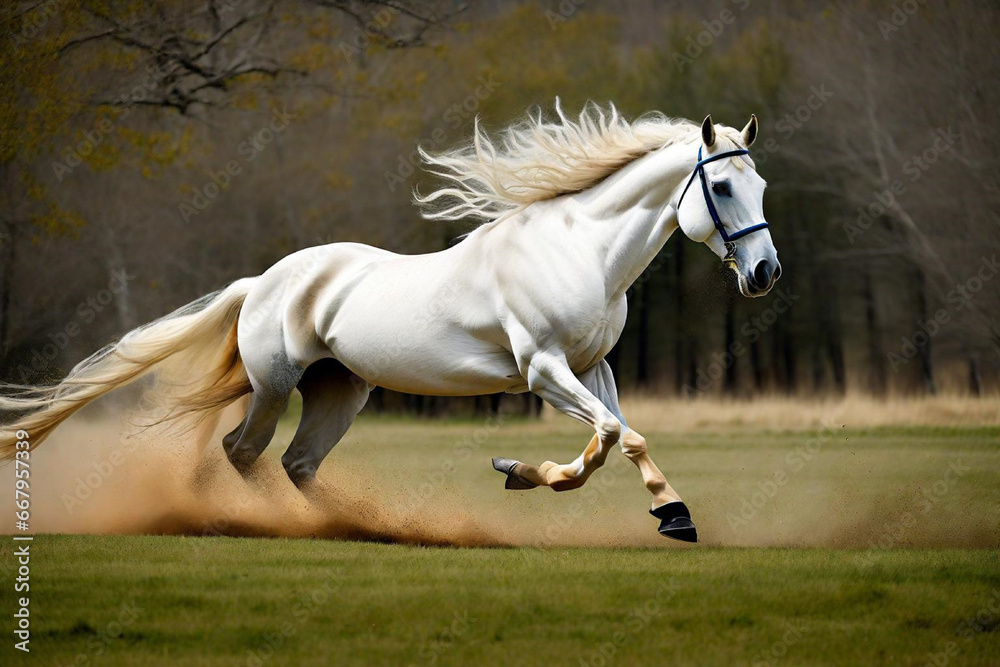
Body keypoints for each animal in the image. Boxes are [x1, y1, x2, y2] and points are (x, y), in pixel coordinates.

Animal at [0, 102, 780, 542]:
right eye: (719, 185)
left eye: (762, 183)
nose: (765, 273)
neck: (578, 252)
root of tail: (264, 282)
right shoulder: (543, 369)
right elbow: (611, 436)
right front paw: (533, 475)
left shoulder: (592, 366)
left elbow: (620, 435)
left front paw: (669, 513)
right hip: (274, 385)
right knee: (242, 453)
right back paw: (295, 526)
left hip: (340, 391)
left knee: (295, 463)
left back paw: (358, 524)